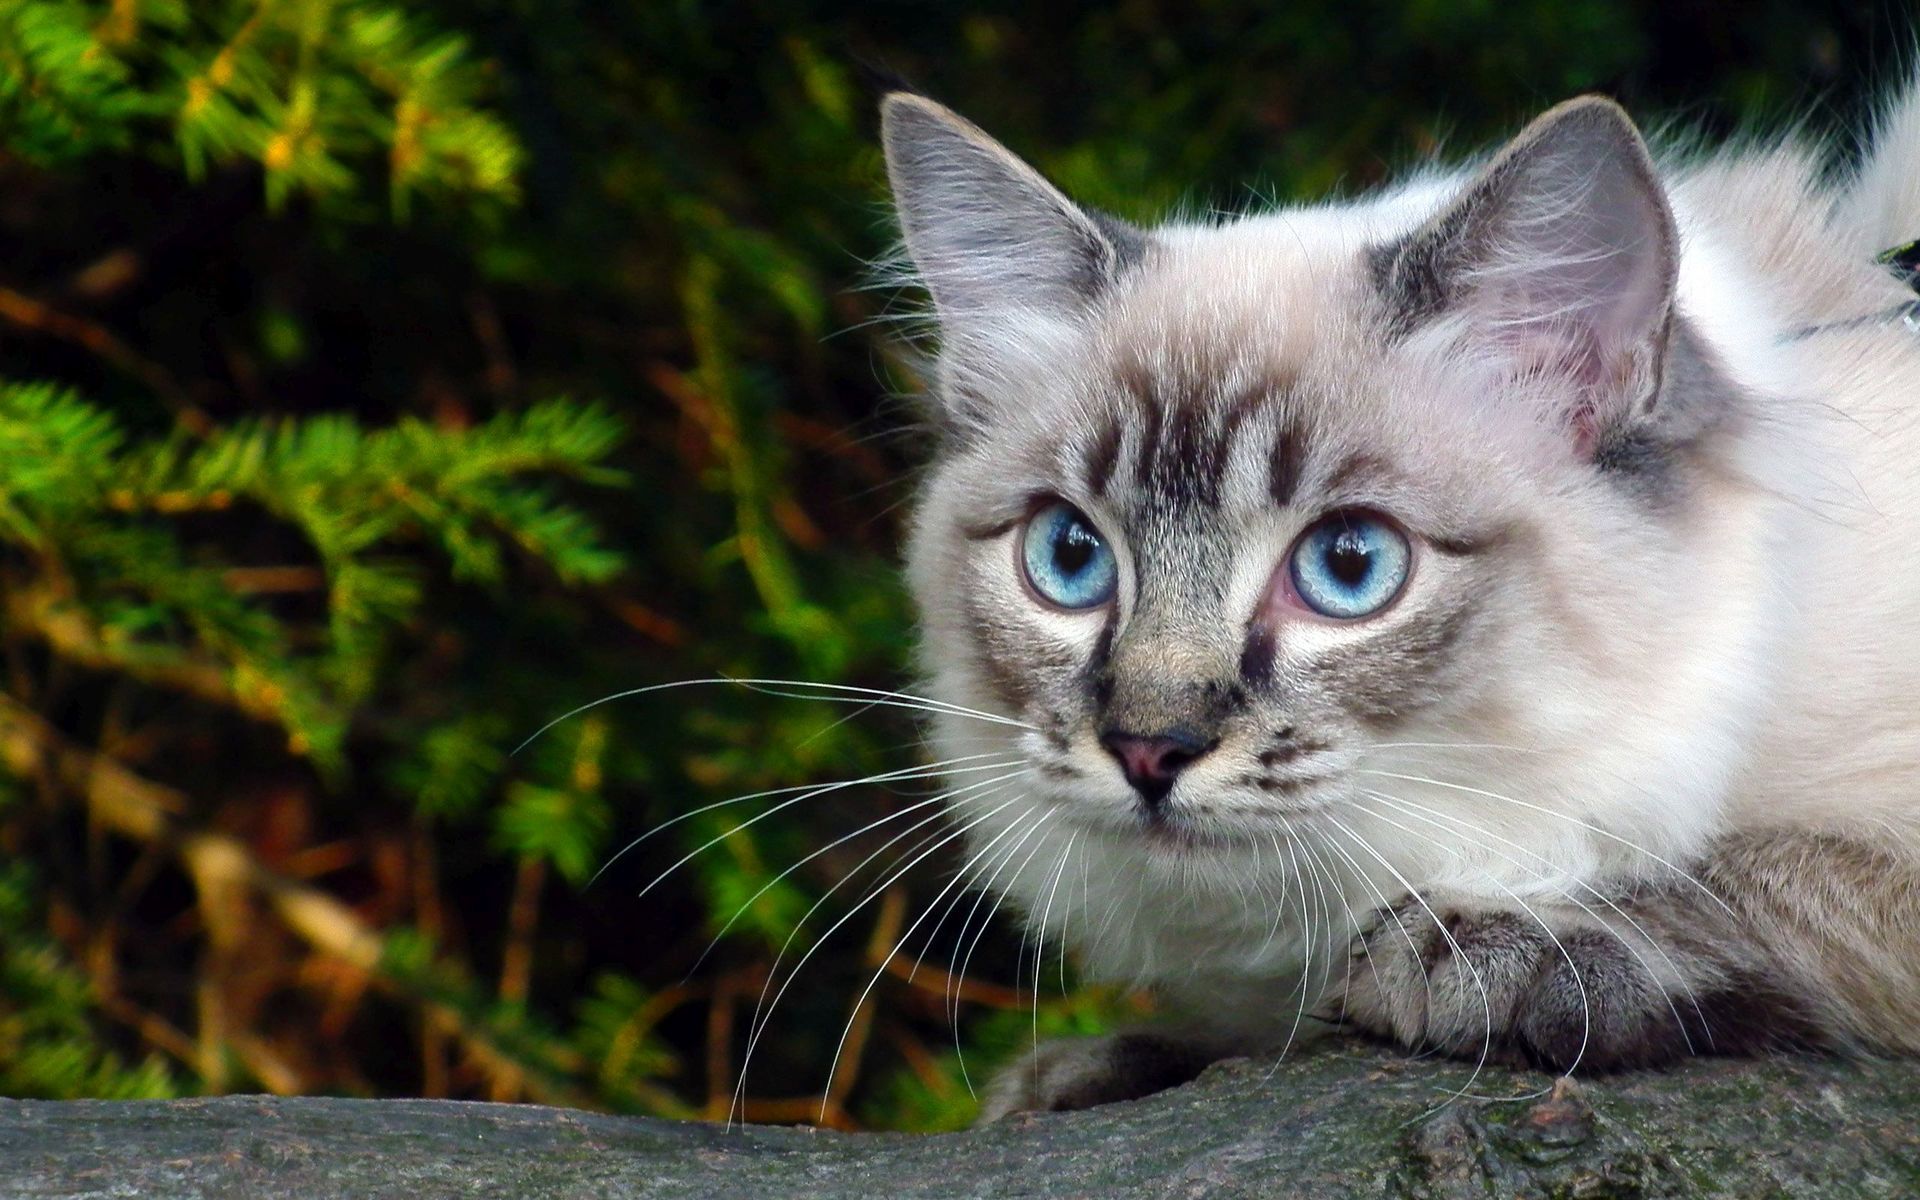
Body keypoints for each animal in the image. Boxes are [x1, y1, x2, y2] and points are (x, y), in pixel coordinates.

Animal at [879, 74, 1920, 1121]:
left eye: (1348, 566)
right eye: (1070, 557)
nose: (1147, 748)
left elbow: (1728, 870)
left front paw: (1476, 947)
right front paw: (1088, 1075)